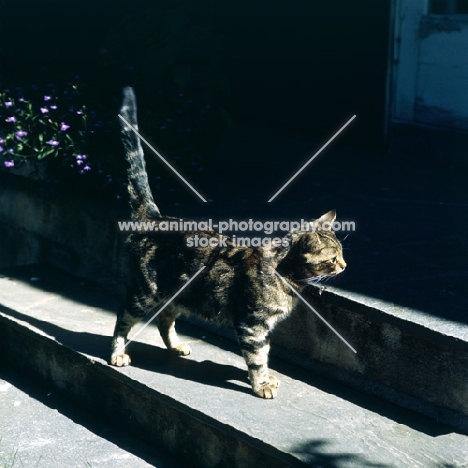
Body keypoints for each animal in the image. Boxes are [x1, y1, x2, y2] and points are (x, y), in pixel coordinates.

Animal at [108, 87, 346, 398]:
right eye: (333, 258)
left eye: (342, 254)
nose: (344, 266)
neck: (285, 275)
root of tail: (155, 217)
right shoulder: (252, 324)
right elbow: (256, 357)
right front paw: (261, 384)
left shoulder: (260, 327)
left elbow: (263, 354)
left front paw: (263, 378)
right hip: (145, 293)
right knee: (123, 316)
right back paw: (117, 353)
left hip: (180, 293)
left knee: (164, 319)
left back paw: (176, 346)